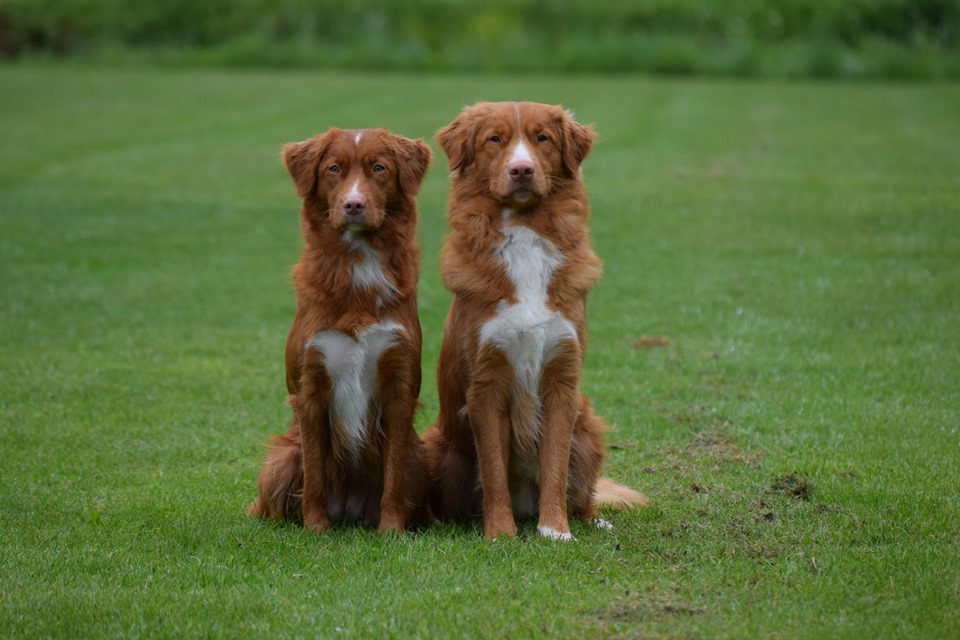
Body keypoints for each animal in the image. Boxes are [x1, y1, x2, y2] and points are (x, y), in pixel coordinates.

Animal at [255, 127, 436, 532]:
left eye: (379, 168)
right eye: (334, 169)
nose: (354, 204)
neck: (357, 264)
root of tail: (351, 511)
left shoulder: (398, 385)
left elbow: (394, 475)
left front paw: (392, 530)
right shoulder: (311, 387)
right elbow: (314, 475)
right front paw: (316, 528)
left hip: (421, 458)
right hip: (280, 457)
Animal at [424, 101, 648, 540]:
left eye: (541, 138)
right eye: (495, 139)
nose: (522, 170)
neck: (525, 232)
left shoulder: (562, 381)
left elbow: (556, 465)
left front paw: (556, 529)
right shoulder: (487, 383)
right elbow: (493, 470)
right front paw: (500, 533)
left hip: (587, 425)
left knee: (582, 492)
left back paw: (591, 518)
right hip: (441, 448)